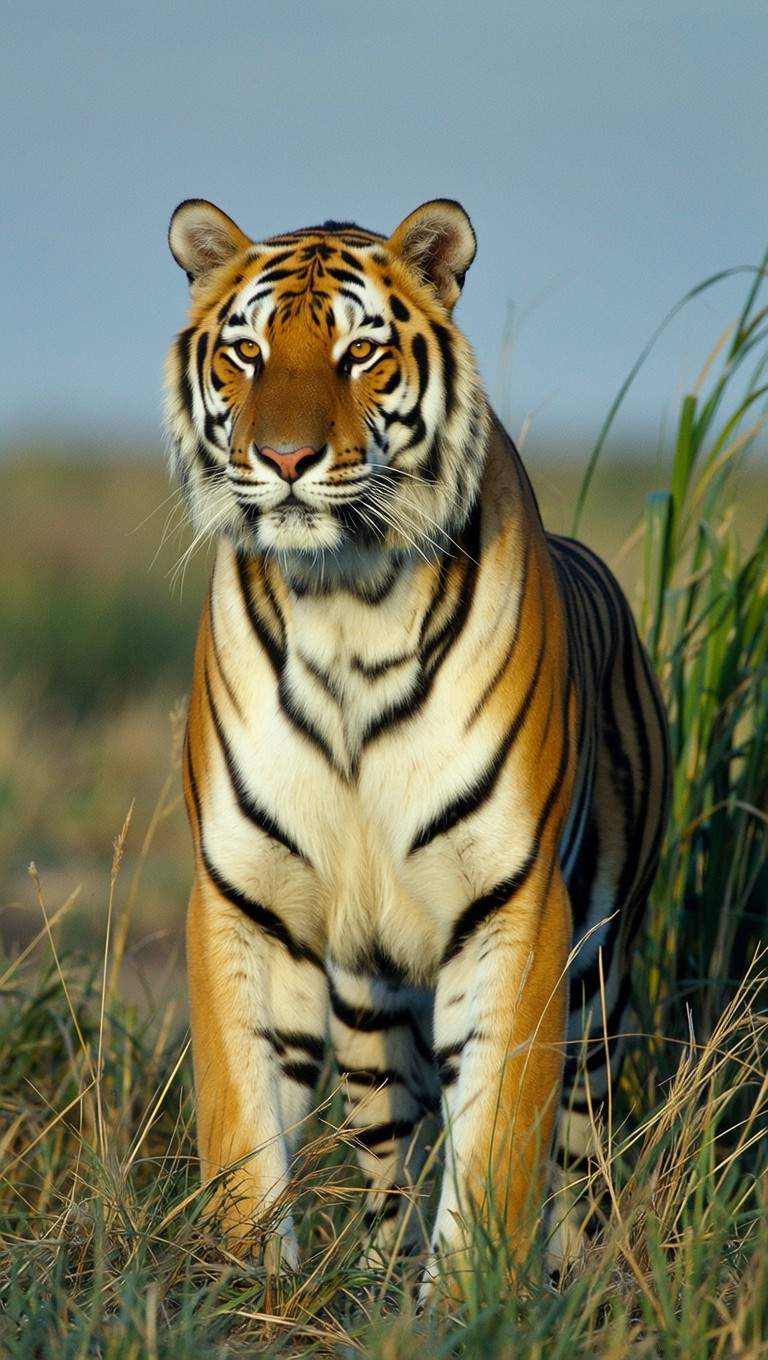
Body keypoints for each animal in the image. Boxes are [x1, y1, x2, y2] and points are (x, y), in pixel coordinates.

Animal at [164, 196, 670, 1298]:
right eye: (247, 353)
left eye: (361, 352)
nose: (287, 461)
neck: (343, 602)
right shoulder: (246, 896)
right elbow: (242, 1119)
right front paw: (252, 1286)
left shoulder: (517, 904)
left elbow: (496, 1141)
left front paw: (475, 1299)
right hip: (367, 998)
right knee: (388, 1148)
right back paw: (377, 1268)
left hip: (598, 977)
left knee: (581, 1140)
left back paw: (580, 1273)